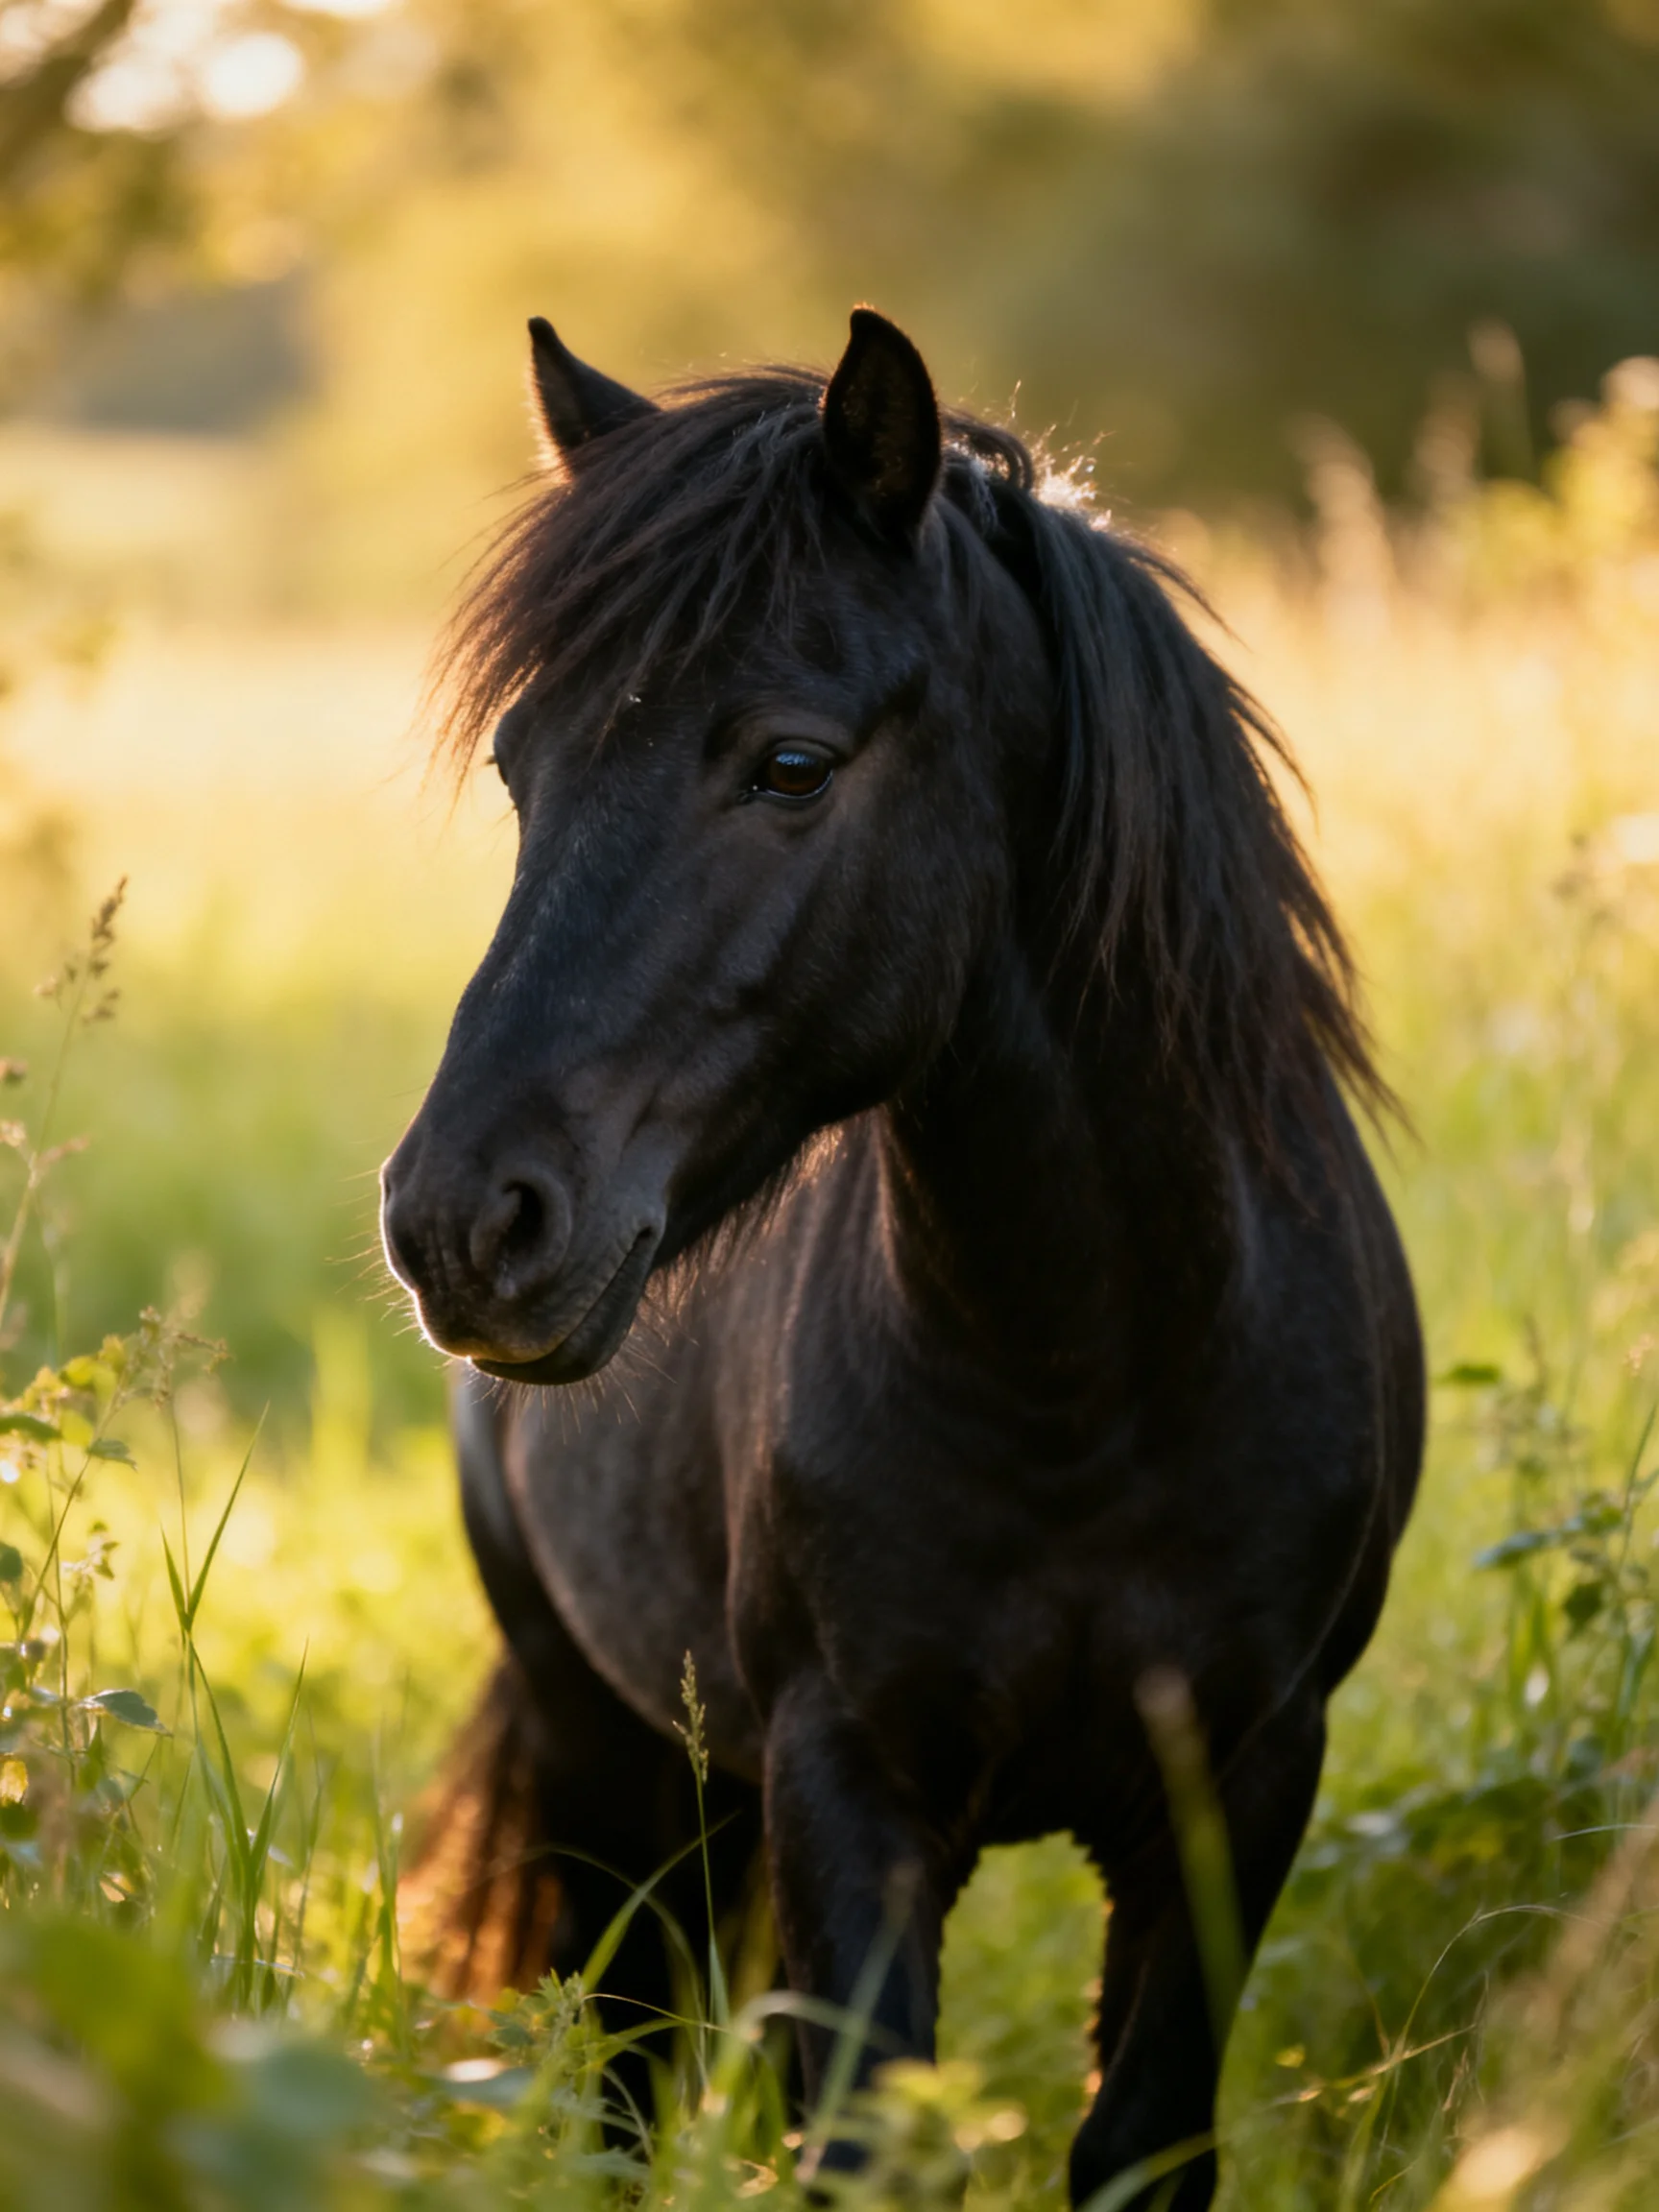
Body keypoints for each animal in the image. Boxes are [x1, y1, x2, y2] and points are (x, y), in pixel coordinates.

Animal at [381, 307, 1424, 2209]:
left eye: (790, 764)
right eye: (518, 764)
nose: (460, 1225)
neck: (1093, 1374)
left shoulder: (1241, 1783)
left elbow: (1141, 2141)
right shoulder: (845, 1791)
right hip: (610, 1760)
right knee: (626, 2075)